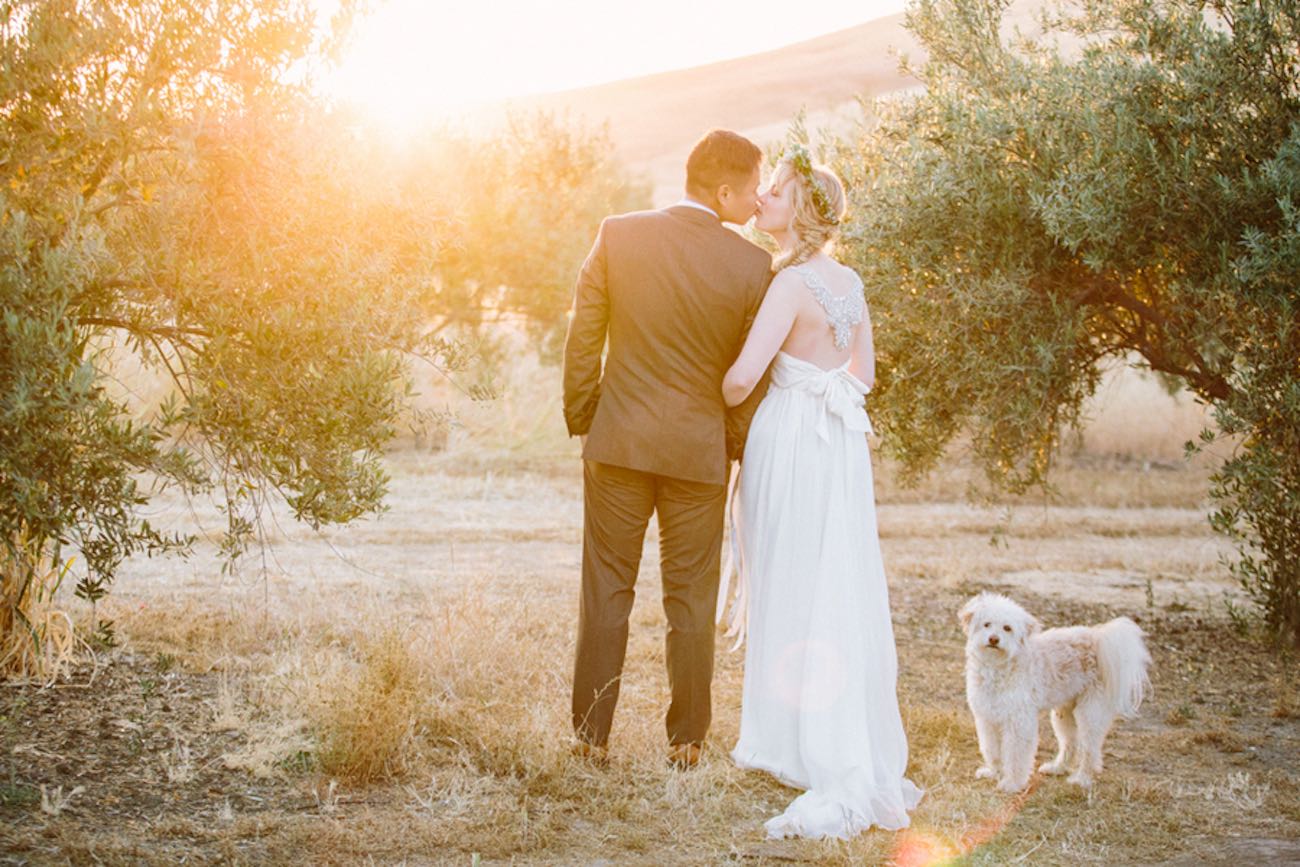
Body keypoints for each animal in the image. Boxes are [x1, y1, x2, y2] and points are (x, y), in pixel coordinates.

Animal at [956, 597, 1149, 795]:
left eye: (1007, 628)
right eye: (986, 624)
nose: (994, 639)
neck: (998, 667)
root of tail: (1098, 637)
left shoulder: (1019, 721)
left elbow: (1016, 755)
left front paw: (1012, 783)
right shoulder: (987, 719)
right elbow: (992, 750)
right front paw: (993, 772)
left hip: (1090, 713)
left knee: (1090, 750)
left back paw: (1081, 779)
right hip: (1064, 714)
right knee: (1070, 743)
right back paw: (1058, 768)